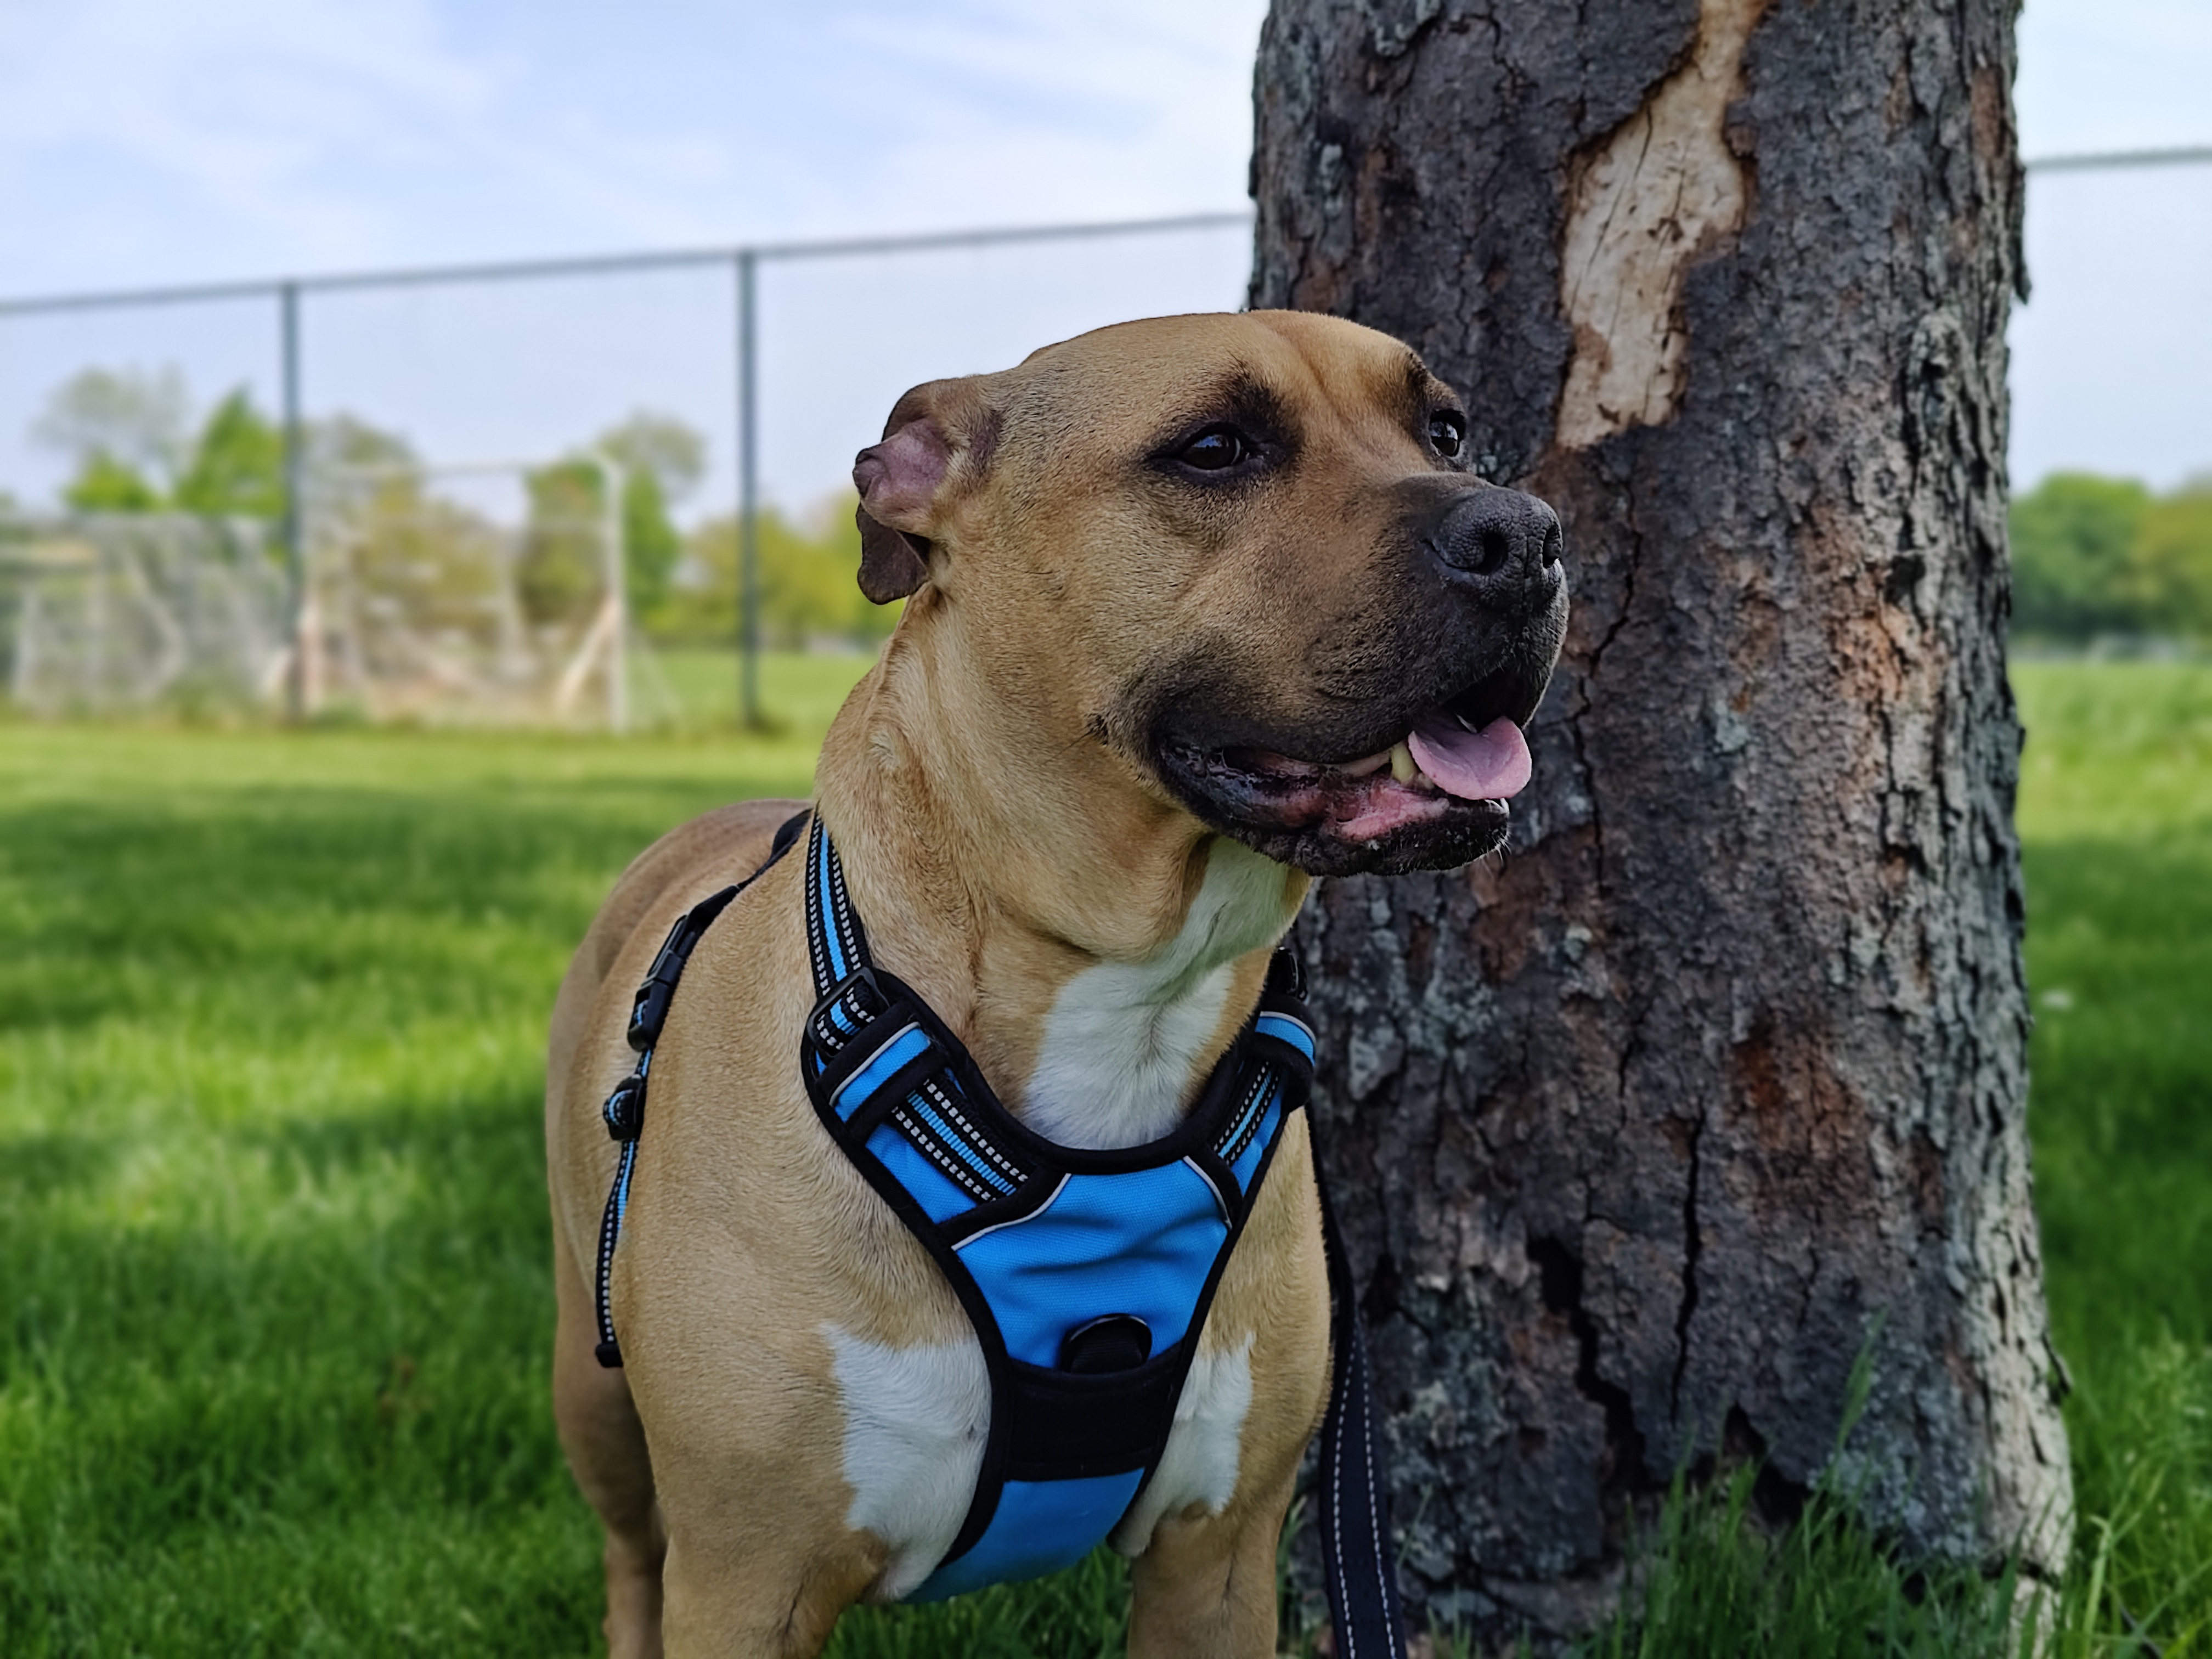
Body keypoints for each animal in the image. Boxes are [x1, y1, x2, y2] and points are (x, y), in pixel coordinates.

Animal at [541, 314, 1566, 1659]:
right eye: (1214, 449)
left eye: (1444, 429)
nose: (1527, 536)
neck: (1125, 1003)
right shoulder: (745, 1582)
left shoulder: (1218, 1559)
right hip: (592, 1394)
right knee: (626, 1555)